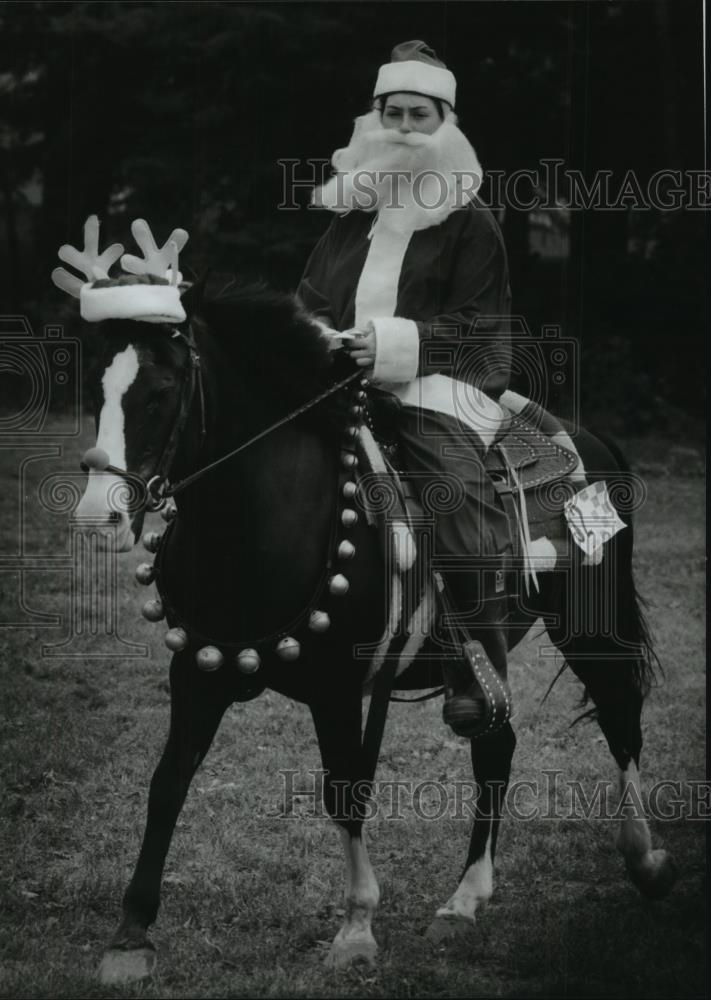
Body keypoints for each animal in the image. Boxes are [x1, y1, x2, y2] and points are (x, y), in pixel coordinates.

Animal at [73, 278, 680, 980]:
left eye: (161, 391)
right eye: (95, 387)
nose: (97, 519)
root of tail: (589, 440)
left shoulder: (337, 685)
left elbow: (345, 791)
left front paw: (357, 927)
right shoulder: (198, 671)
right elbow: (168, 783)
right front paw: (131, 934)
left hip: (591, 629)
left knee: (619, 718)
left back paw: (645, 859)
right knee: (497, 744)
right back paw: (465, 899)